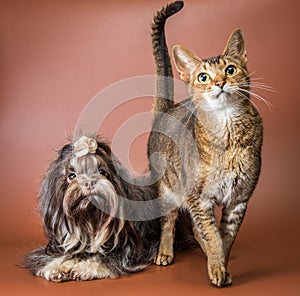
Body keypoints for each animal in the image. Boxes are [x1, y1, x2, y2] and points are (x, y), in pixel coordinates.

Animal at [23, 135, 162, 280]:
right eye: (71, 176)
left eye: (102, 172)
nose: (89, 182)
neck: (90, 220)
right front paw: (55, 266)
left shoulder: (128, 252)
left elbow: (104, 258)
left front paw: (84, 267)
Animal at [149, 0, 264, 286]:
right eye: (203, 77)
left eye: (230, 69)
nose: (220, 82)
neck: (228, 133)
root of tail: (166, 111)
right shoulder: (200, 199)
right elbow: (213, 236)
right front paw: (217, 267)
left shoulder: (240, 198)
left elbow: (225, 238)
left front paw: (220, 263)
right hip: (168, 190)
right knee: (168, 222)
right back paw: (165, 252)